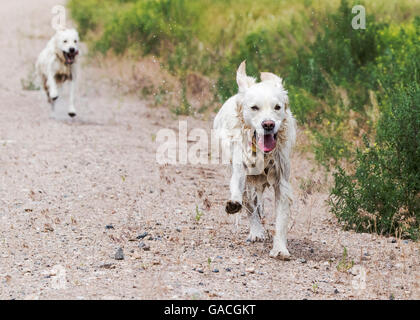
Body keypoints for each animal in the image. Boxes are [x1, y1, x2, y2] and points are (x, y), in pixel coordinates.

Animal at [215, 62, 296, 260]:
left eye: (277, 107)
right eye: (254, 108)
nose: (268, 124)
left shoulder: (282, 181)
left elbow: (281, 218)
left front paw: (280, 248)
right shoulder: (240, 168)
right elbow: (241, 195)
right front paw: (234, 204)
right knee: (250, 204)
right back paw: (256, 231)